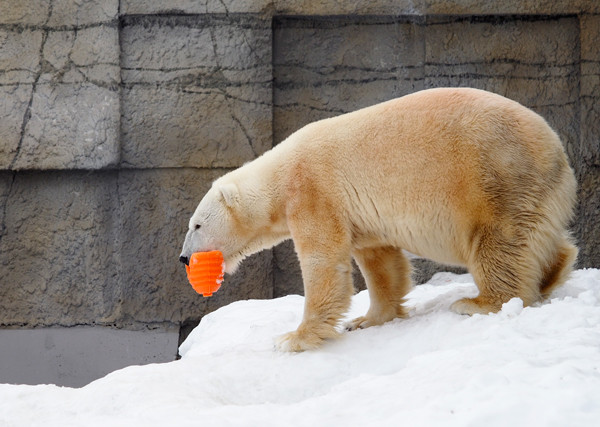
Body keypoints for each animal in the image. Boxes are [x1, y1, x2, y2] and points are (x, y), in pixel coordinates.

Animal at [178, 87, 576, 352]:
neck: (279, 174)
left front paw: (294, 338)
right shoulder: (361, 215)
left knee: (497, 242)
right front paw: (367, 320)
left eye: (196, 225)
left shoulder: (313, 192)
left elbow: (323, 262)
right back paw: (552, 273)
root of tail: (556, 149)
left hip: (491, 175)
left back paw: (480, 302)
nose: (183, 257)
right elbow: (380, 261)